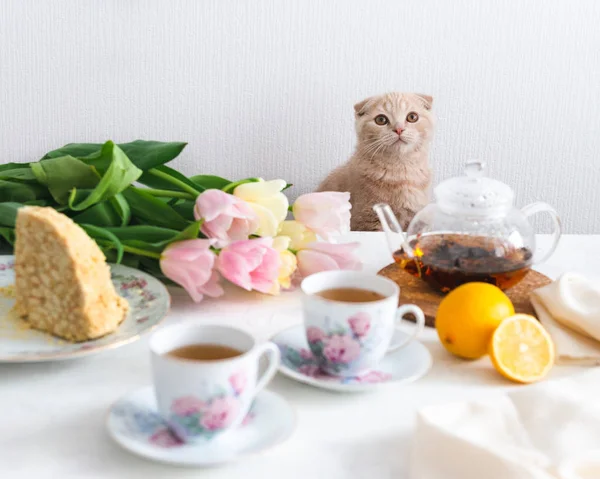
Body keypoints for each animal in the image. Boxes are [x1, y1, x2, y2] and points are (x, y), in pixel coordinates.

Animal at [316, 91, 434, 232]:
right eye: (381, 120)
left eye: (412, 117)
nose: (399, 129)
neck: (399, 170)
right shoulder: (368, 220)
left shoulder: (413, 218)